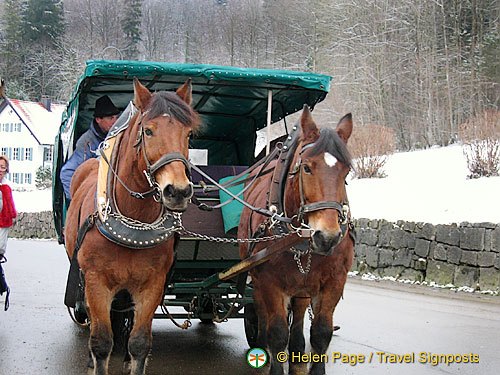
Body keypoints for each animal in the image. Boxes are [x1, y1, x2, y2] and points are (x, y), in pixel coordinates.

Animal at [64, 78, 199, 374]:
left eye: (189, 134)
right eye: (148, 131)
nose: (178, 191)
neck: (134, 224)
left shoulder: (152, 284)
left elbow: (139, 343)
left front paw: (131, 357)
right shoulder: (95, 282)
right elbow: (102, 342)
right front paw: (95, 361)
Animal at [239, 105, 354, 375]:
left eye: (346, 171)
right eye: (307, 168)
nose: (327, 236)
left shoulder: (334, 281)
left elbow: (321, 334)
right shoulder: (270, 282)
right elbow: (277, 333)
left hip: (303, 285)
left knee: (300, 313)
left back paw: (298, 351)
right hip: (257, 279)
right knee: (262, 314)